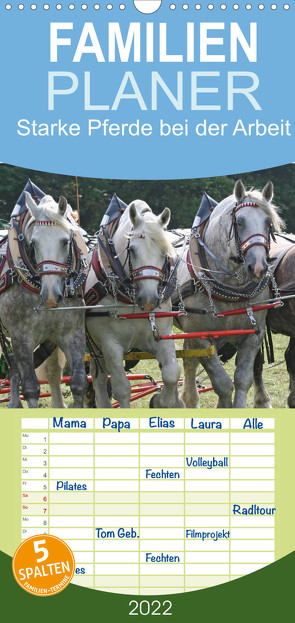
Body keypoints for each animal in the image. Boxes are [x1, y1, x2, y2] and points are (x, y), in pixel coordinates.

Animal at [0, 195, 88, 410]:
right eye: (33, 243)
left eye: (65, 241)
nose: (50, 295)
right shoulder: (21, 337)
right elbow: (31, 388)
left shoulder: (72, 333)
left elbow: (79, 383)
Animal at [173, 179, 284, 410]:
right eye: (239, 222)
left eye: (268, 222)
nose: (258, 267)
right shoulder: (202, 338)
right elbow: (222, 383)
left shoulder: (253, 336)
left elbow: (243, 379)